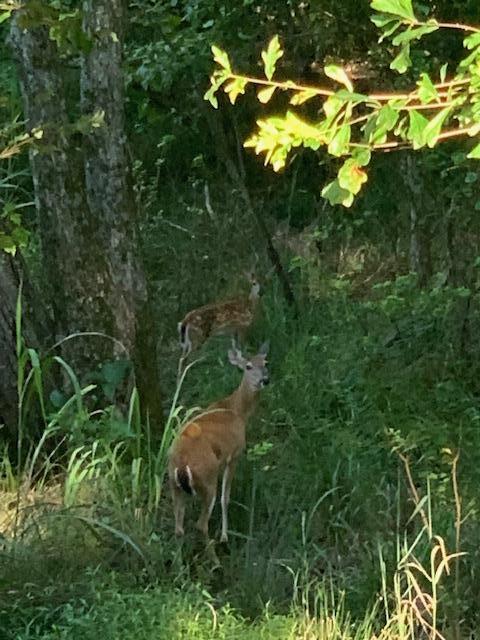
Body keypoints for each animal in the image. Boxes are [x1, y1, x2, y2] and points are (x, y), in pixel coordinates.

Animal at [168, 341, 269, 542]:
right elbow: (225, 498)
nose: (265, 380)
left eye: (265, 362)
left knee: (178, 526)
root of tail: (182, 464)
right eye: (248, 366)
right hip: (207, 478)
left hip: (173, 483)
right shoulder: (235, 453)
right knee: (201, 524)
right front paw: (224, 535)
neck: (237, 410)